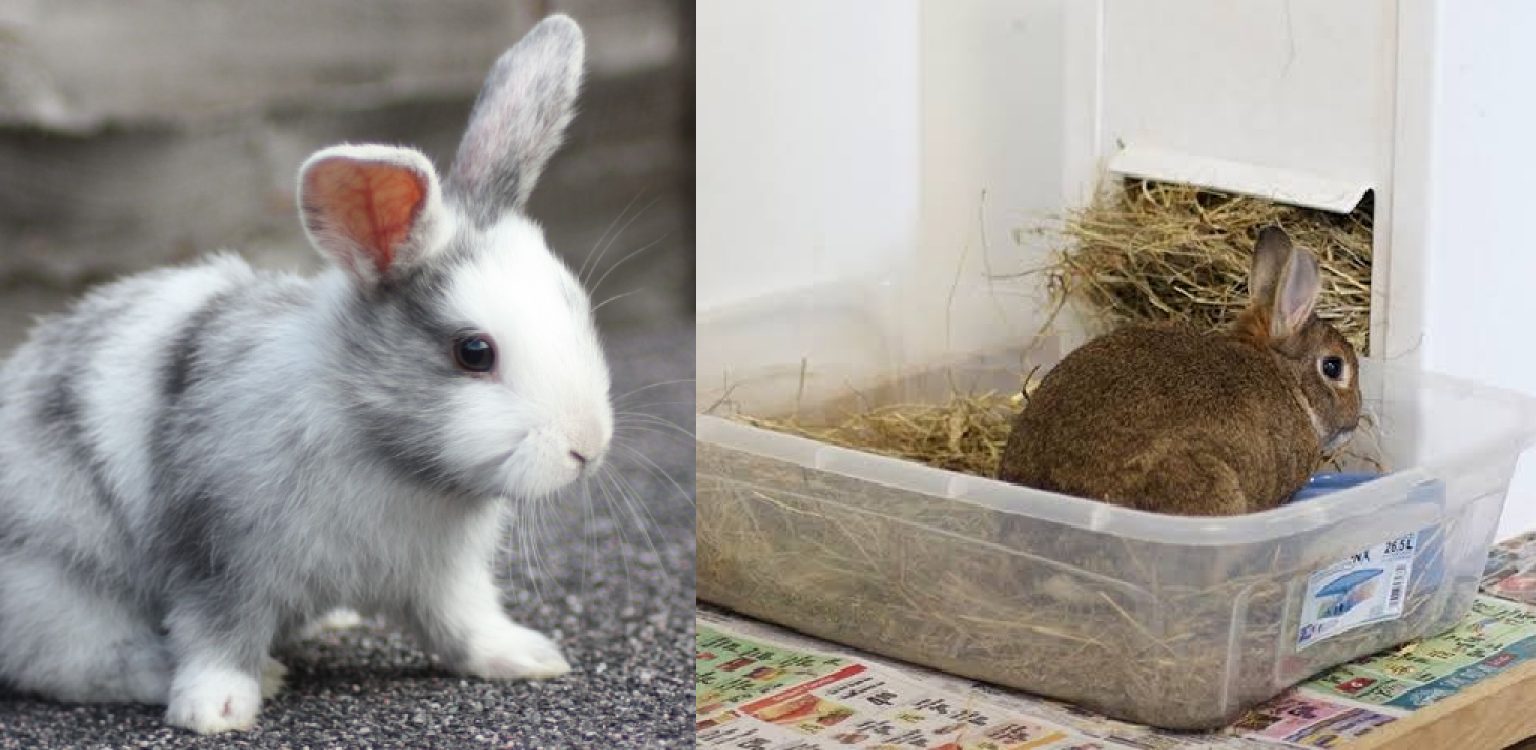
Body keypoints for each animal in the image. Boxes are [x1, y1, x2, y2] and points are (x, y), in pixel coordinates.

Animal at [0, 14, 609, 734]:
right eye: (474, 352)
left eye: (576, 305)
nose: (588, 447)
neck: (384, 455)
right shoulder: (219, 554)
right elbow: (216, 633)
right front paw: (217, 708)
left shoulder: (445, 576)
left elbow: (464, 624)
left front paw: (527, 657)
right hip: (53, 588)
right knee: (74, 661)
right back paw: (221, 673)